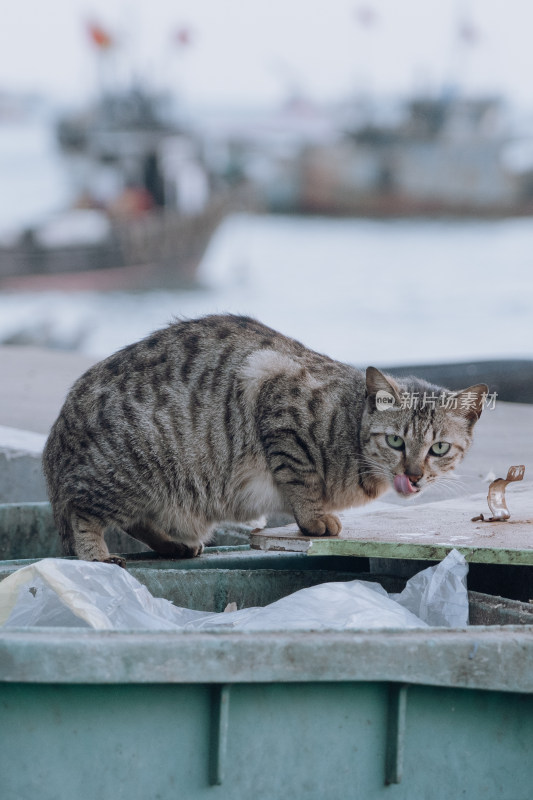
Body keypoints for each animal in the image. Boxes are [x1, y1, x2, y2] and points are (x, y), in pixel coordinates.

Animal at [42, 316, 486, 564]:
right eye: (395, 442)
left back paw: (173, 545)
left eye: (439, 449)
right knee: (82, 513)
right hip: (126, 470)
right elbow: (301, 476)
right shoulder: (277, 397)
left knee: (138, 520)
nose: (413, 475)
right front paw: (314, 518)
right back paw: (98, 556)